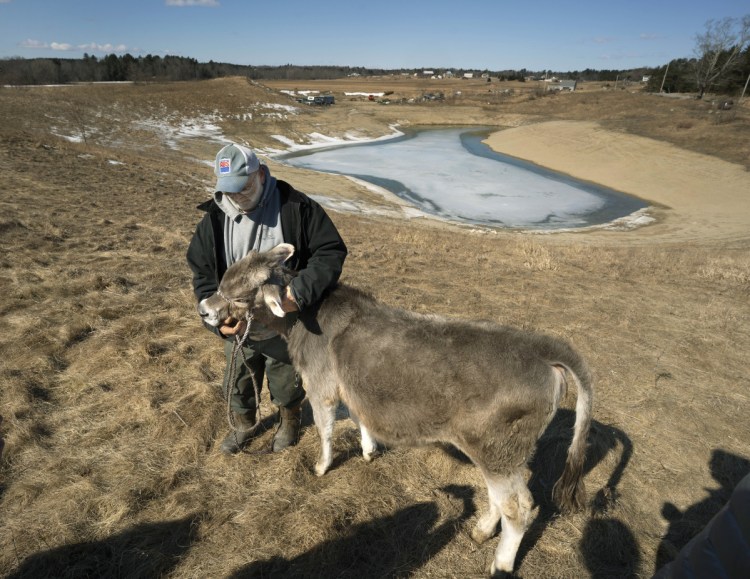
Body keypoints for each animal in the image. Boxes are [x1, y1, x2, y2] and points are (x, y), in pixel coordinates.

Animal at [198, 244, 592, 576]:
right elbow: (360, 416)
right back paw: (482, 530)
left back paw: (501, 563)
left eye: (238, 294)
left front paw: (322, 466)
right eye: (222, 281)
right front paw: (369, 450)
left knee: (519, 507)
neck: (304, 319)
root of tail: (542, 349)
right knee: (506, 494)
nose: (204, 308)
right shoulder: (354, 383)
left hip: (496, 447)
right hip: (505, 450)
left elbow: (325, 428)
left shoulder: (320, 383)